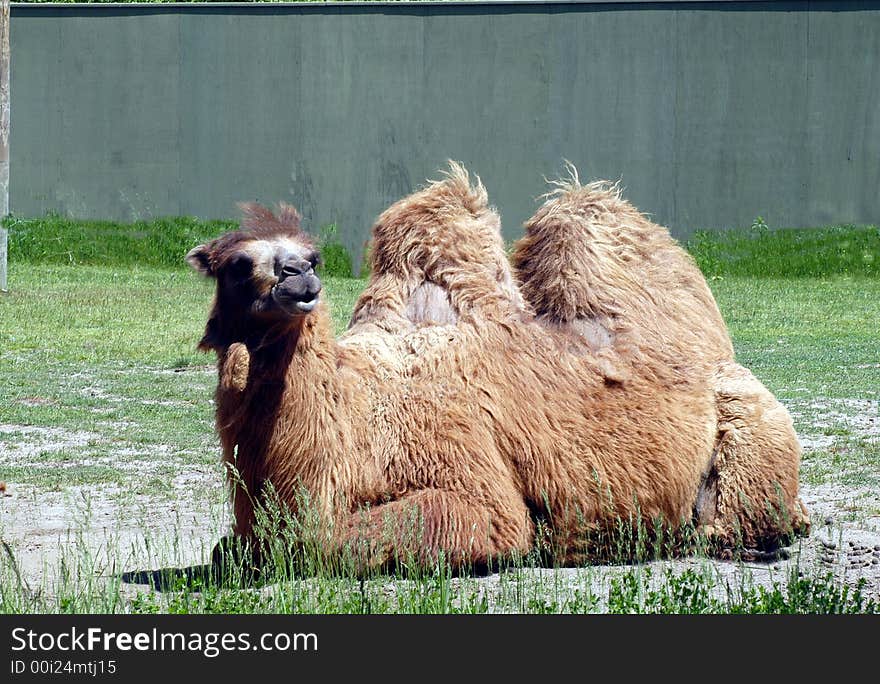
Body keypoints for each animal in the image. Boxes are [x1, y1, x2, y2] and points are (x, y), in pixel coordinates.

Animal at [189, 166, 808, 572]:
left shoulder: (464, 464)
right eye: (237, 264)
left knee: (739, 518)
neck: (357, 417)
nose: (299, 278)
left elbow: (335, 543)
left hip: (748, 421)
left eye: (312, 256)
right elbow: (231, 548)